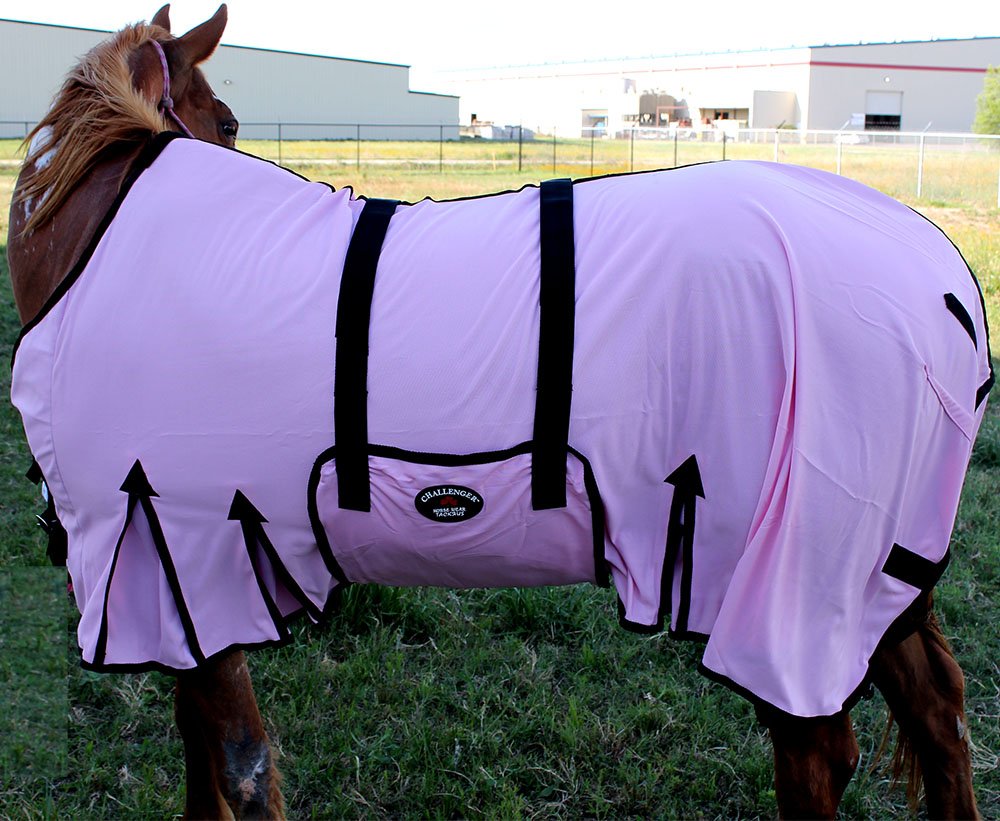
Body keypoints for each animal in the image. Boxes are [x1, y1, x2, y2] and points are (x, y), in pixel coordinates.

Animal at [6, 6, 988, 819]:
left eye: (231, 124)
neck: (104, 248)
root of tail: (940, 278)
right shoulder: (170, 580)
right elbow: (202, 756)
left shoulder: (187, 553)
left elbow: (236, 766)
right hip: (881, 573)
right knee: (939, 714)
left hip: (795, 580)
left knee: (823, 752)